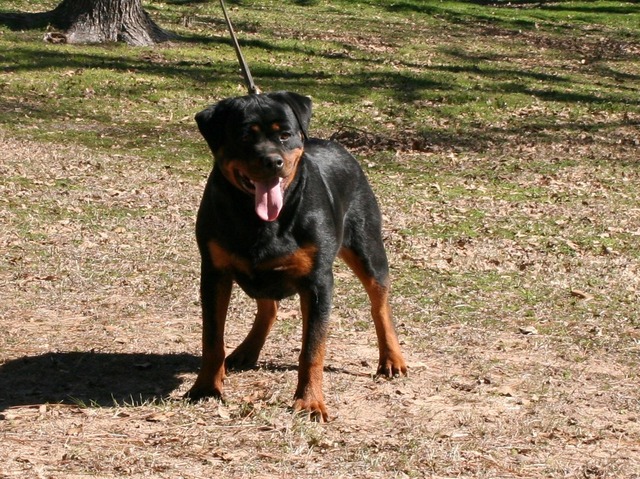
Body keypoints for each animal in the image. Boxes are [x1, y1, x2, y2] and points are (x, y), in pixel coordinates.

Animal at [185, 91, 408, 420]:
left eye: (285, 135)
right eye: (244, 137)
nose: (272, 161)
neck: (259, 221)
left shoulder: (318, 283)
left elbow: (312, 348)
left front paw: (310, 401)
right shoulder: (213, 273)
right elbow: (212, 338)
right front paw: (205, 388)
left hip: (367, 247)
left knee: (379, 304)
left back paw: (391, 358)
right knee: (269, 307)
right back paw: (247, 350)